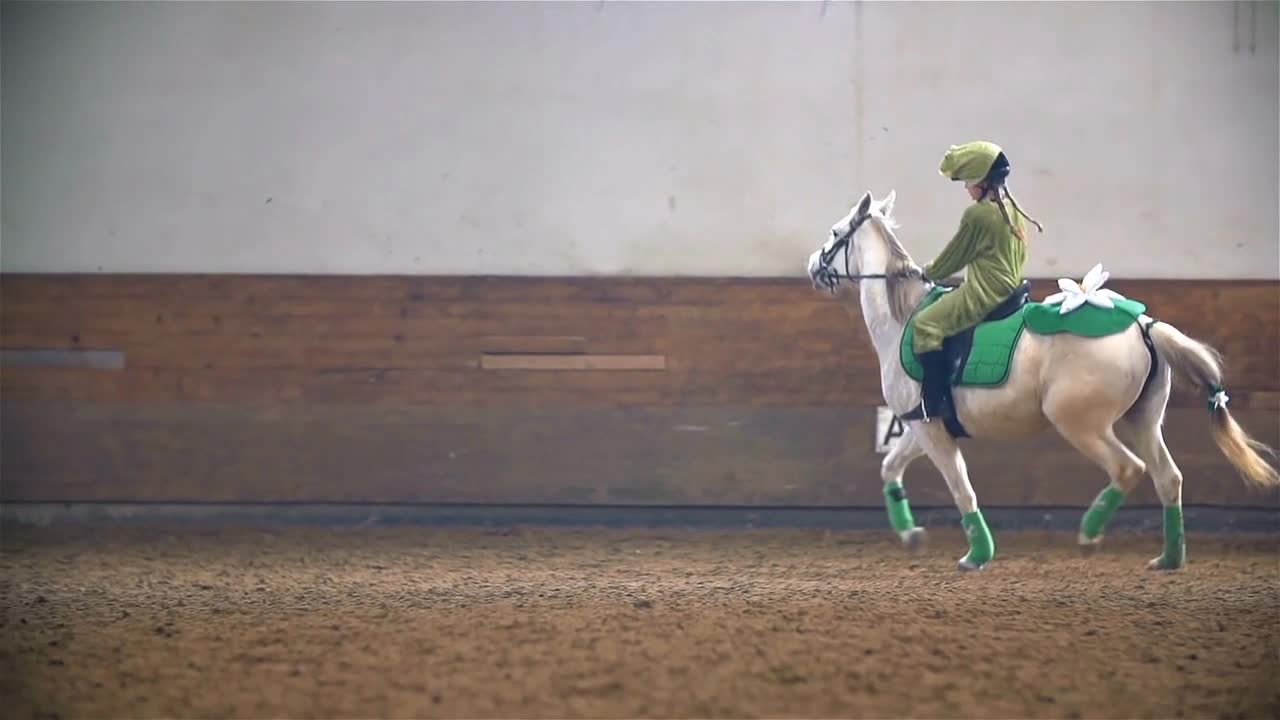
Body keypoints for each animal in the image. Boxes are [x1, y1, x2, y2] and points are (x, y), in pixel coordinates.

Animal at [803, 188, 1274, 568]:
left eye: (834, 232)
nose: (811, 266)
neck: (902, 318)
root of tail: (1142, 325)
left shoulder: (932, 431)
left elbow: (961, 489)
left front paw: (977, 555)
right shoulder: (922, 426)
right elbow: (890, 468)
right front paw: (910, 534)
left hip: (1081, 425)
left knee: (1127, 469)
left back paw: (1089, 533)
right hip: (1141, 421)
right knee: (1168, 478)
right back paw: (1169, 559)